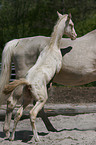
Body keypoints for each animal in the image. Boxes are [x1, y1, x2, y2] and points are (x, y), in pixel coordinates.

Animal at [2, 12, 76, 142]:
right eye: (71, 24)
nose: (75, 36)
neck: (51, 48)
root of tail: (28, 83)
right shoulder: (58, 68)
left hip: (27, 99)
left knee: (18, 114)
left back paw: (11, 137)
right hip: (41, 99)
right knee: (32, 113)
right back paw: (36, 138)